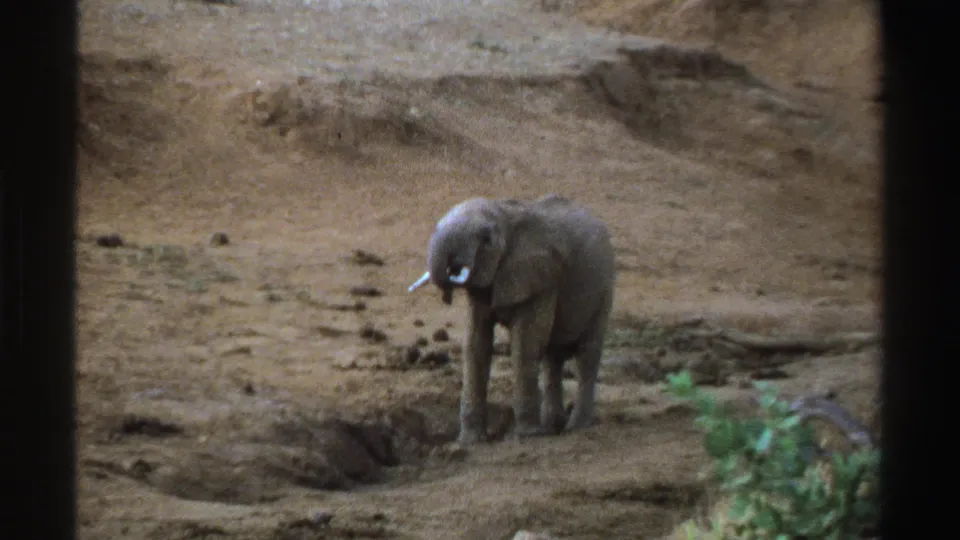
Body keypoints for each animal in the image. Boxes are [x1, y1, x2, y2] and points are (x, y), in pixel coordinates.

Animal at [409, 194, 616, 445]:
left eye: (486, 240)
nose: (447, 294)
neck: (504, 215)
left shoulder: (542, 277)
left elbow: (525, 344)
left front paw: (528, 435)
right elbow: (476, 346)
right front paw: (471, 441)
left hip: (604, 290)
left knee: (586, 355)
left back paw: (575, 427)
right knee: (552, 357)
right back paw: (552, 426)